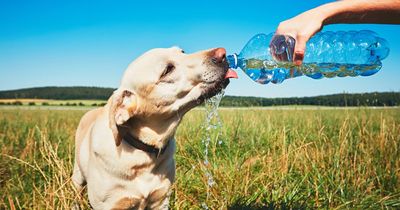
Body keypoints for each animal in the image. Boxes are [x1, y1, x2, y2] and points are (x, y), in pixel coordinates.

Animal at [72, 46, 238, 209]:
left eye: (182, 52)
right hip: (77, 176)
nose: (223, 53)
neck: (144, 154)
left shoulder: (161, 200)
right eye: (167, 70)